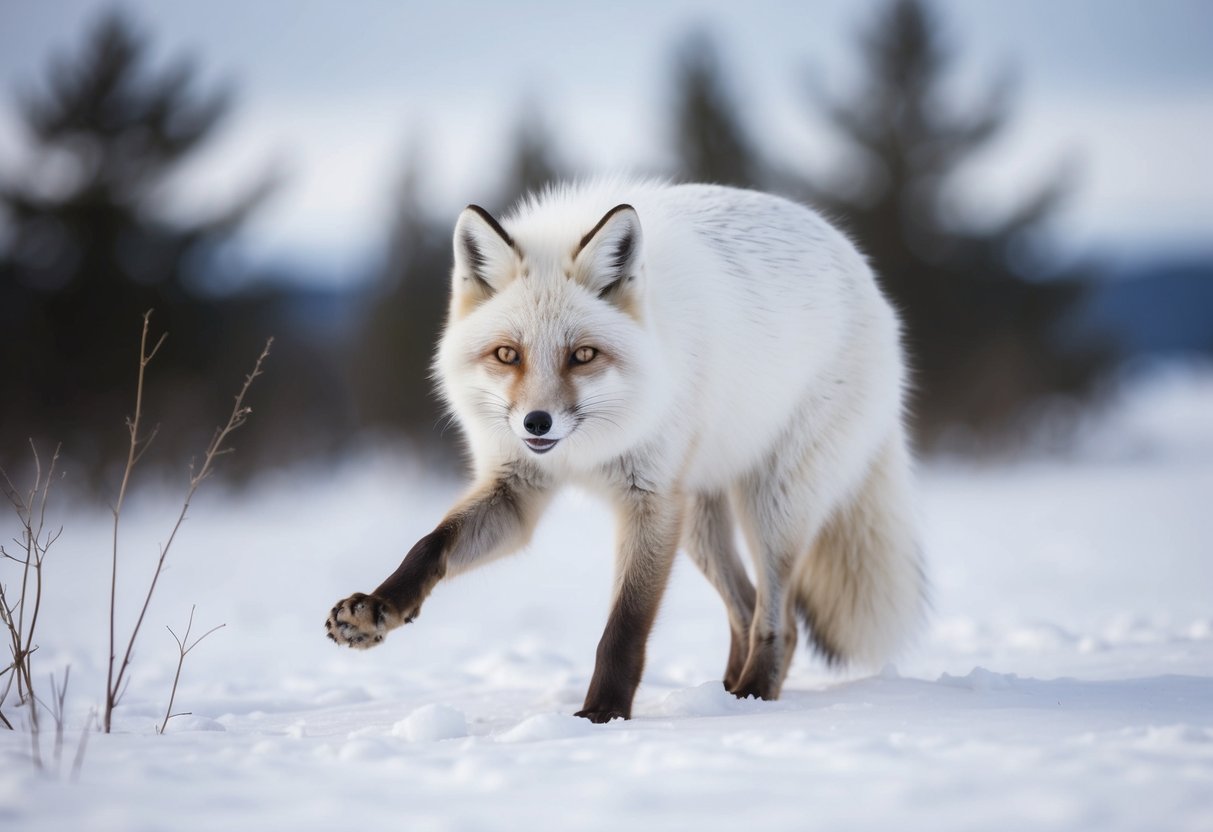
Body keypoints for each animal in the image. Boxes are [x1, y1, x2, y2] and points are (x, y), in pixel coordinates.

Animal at [326, 179, 926, 723]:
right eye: (508, 354)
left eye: (583, 355)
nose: (536, 421)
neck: (582, 453)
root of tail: (863, 273)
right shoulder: (516, 489)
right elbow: (430, 546)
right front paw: (376, 609)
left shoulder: (651, 500)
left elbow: (625, 626)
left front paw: (603, 713)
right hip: (699, 521)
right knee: (744, 606)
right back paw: (728, 693)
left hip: (770, 505)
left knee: (780, 620)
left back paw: (754, 695)